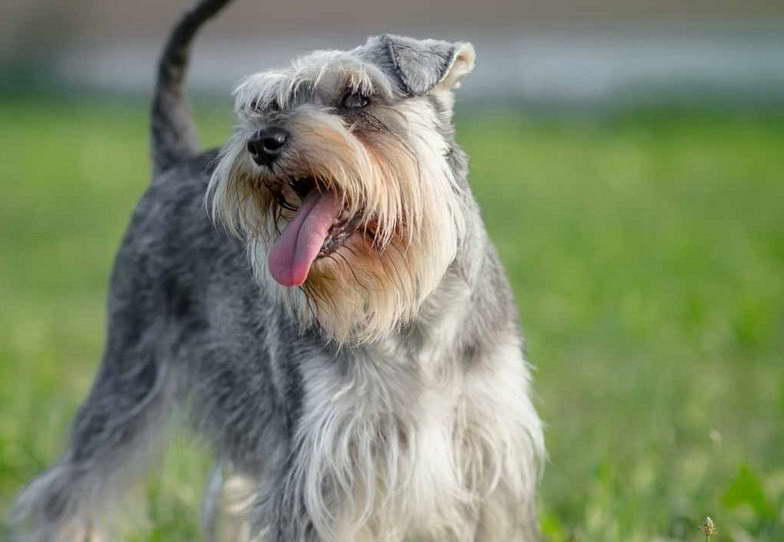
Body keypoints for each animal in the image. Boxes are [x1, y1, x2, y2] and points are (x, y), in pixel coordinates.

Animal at [10, 1, 544, 542]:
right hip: (130, 372)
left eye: (358, 97)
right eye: (265, 105)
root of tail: (173, 164)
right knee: (73, 488)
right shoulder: (320, 470)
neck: (412, 314)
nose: (263, 142)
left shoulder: (491, 458)